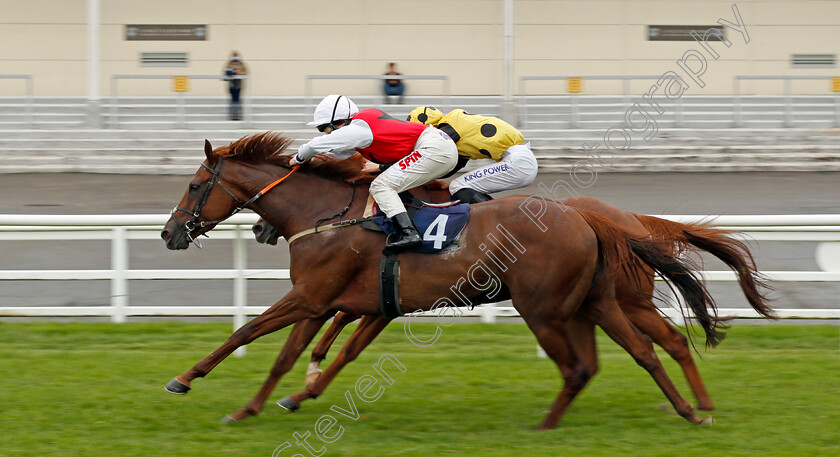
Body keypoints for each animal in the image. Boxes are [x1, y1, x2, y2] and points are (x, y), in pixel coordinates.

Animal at [253, 194, 772, 416]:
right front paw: (303, 382)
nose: (259, 229)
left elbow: (341, 339)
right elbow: (337, 333)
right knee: (666, 343)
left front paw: (304, 382)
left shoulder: (374, 297)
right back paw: (697, 404)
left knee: (651, 345)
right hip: (610, 302)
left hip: (603, 302)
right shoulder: (374, 299)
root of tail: (624, 218)